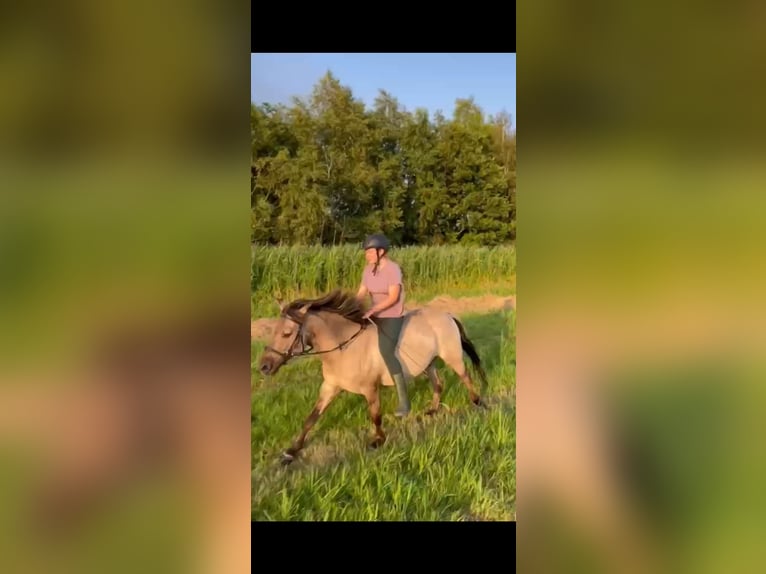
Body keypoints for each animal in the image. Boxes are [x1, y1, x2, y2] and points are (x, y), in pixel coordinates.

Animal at [256, 289, 489, 465]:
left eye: (287, 333)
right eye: (274, 330)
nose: (264, 366)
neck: (343, 348)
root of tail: (448, 315)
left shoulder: (370, 388)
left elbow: (375, 415)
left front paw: (378, 440)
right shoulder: (330, 387)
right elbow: (311, 418)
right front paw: (291, 452)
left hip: (452, 357)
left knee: (466, 376)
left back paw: (478, 402)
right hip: (428, 362)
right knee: (438, 382)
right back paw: (432, 410)